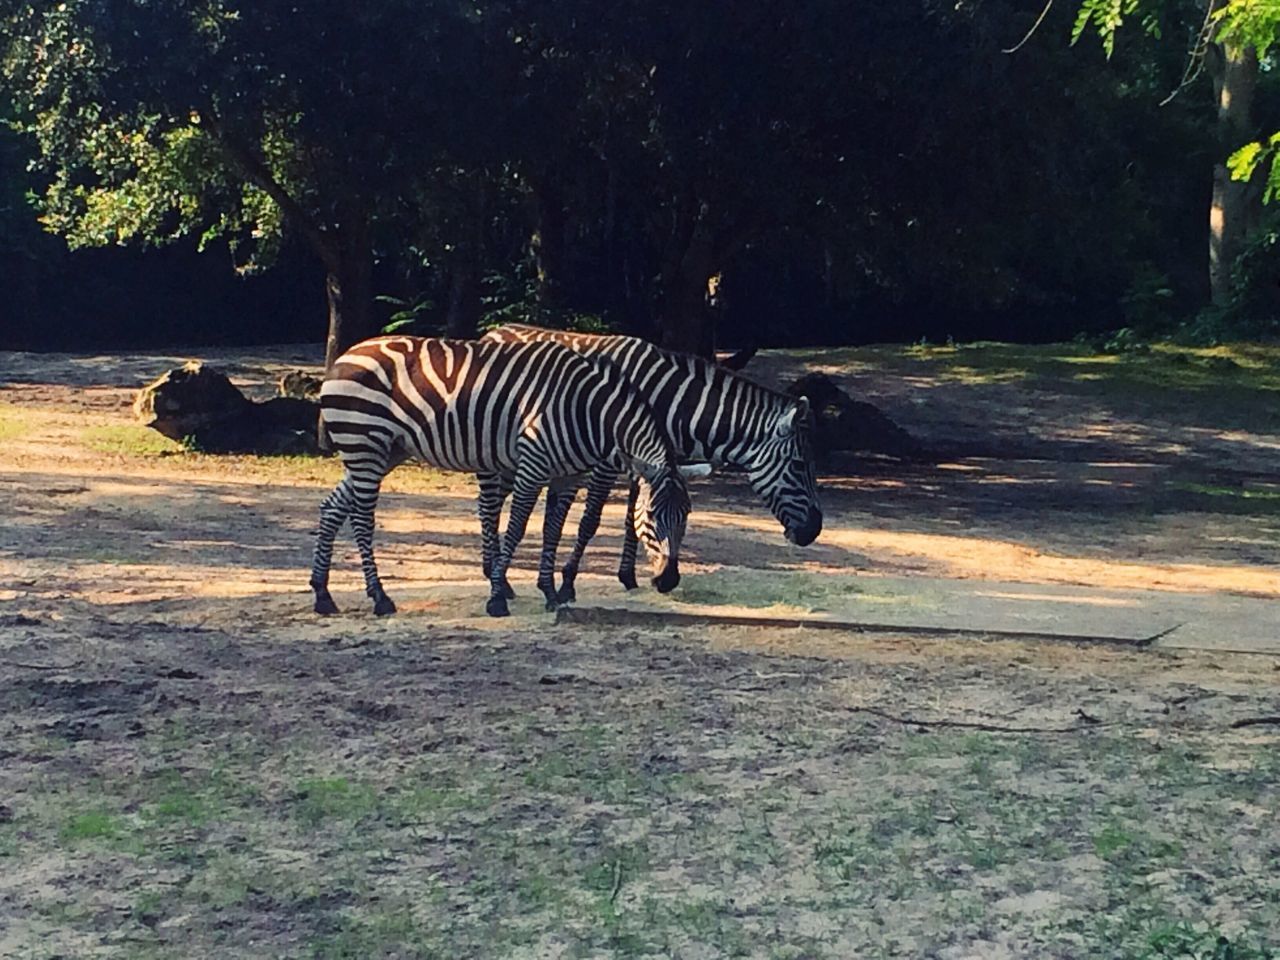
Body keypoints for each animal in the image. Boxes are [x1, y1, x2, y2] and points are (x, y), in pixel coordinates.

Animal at [312, 337, 701, 619]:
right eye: (650, 515)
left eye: (686, 514)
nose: (669, 581)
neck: (588, 410)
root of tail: (345, 355)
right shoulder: (532, 465)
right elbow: (516, 529)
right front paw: (498, 597)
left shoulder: (567, 476)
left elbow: (552, 531)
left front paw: (550, 592)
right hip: (365, 444)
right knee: (362, 519)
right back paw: (379, 597)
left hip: (383, 451)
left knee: (332, 508)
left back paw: (323, 595)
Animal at [478, 327, 819, 604]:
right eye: (798, 465)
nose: (813, 531)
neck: (667, 402)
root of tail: (494, 331)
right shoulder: (608, 462)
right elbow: (591, 521)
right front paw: (568, 584)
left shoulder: (646, 463)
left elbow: (633, 518)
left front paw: (628, 577)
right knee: (488, 505)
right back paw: (497, 578)